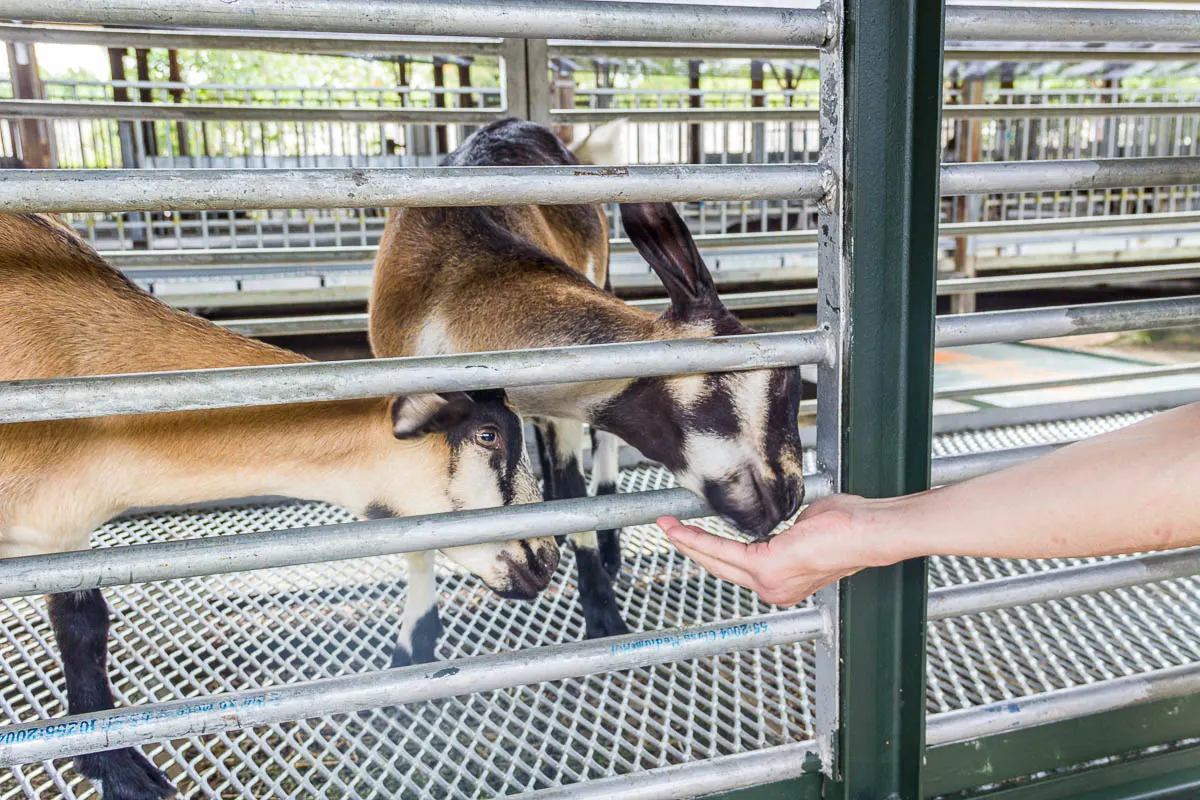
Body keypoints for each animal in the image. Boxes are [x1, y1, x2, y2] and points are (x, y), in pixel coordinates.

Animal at [0, 212, 556, 800]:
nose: (547, 562)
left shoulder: (59, 531)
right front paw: (121, 771)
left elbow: (84, 625)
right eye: (488, 435)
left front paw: (116, 767)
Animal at [372, 118, 806, 652]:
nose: (791, 497)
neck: (459, 289)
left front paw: (603, 616)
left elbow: (576, 495)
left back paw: (607, 545)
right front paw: (412, 645)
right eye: (780, 383)